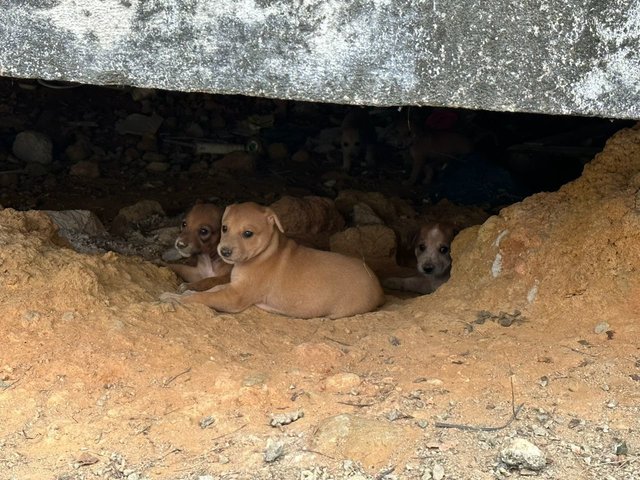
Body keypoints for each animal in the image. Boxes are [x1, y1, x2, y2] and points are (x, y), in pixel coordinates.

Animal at [160, 202, 384, 318]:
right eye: (224, 228)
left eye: (248, 233)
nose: (224, 251)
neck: (263, 253)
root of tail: (378, 285)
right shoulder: (233, 286)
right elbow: (211, 289)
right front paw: (185, 291)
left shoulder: (235, 297)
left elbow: (203, 297)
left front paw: (174, 297)